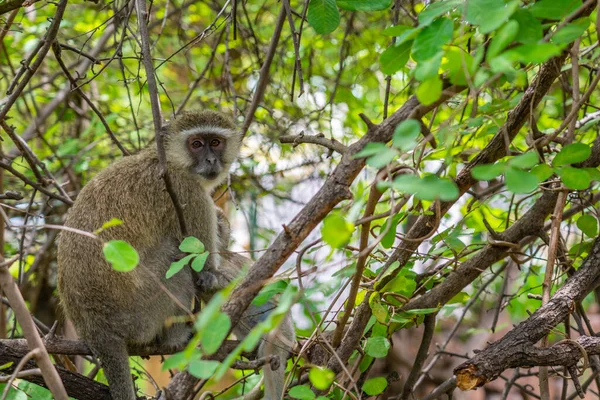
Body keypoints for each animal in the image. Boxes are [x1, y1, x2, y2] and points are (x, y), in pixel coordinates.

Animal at [57, 109, 241, 400]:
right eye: (196, 144)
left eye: (215, 142)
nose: (211, 160)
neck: (171, 163)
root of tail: (95, 329)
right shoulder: (188, 195)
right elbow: (204, 272)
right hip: (138, 313)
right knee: (176, 262)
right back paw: (176, 338)